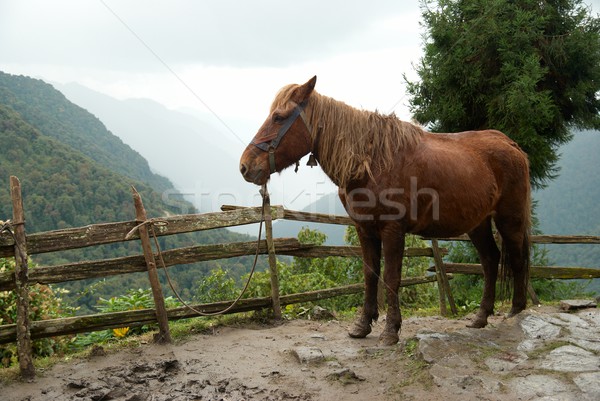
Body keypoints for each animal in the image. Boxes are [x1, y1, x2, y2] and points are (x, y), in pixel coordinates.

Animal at [239, 76, 528, 344]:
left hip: (509, 219)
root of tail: (511, 145)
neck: (370, 161)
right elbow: (370, 275)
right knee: (490, 259)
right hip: (478, 224)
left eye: (279, 117)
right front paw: (363, 325)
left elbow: (391, 276)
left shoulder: (392, 230)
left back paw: (517, 310)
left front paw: (391, 330)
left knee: (516, 257)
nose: (245, 166)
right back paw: (481, 316)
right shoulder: (365, 229)